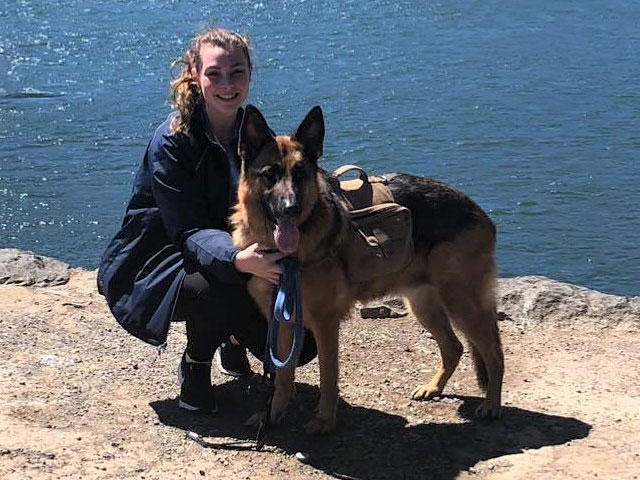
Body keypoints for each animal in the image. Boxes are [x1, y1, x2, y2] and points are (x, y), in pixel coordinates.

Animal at [232, 106, 502, 436]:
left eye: (300, 174)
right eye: (270, 174)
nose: (290, 207)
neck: (287, 254)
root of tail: (478, 211)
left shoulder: (325, 323)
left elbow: (328, 376)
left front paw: (325, 421)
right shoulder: (282, 322)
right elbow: (282, 377)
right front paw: (272, 416)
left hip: (461, 303)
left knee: (493, 352)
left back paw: (492, 404)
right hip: (424, 305)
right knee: (454, 347)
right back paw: (433, 387)